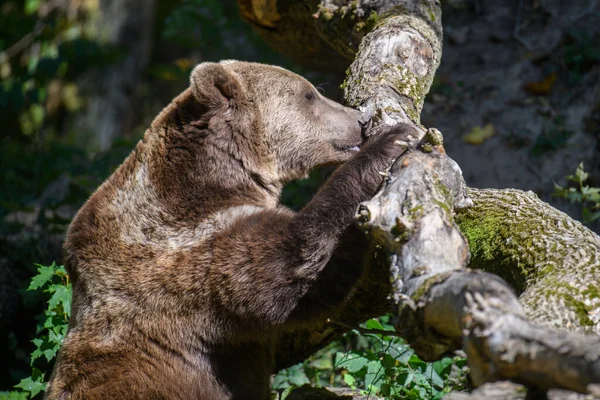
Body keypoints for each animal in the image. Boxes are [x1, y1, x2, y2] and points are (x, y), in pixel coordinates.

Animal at [44, 60, 410, 400]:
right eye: (309, 94)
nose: (361, 122)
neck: (220, 176)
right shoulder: (180, 248)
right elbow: (293, 269)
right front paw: (393, 140)